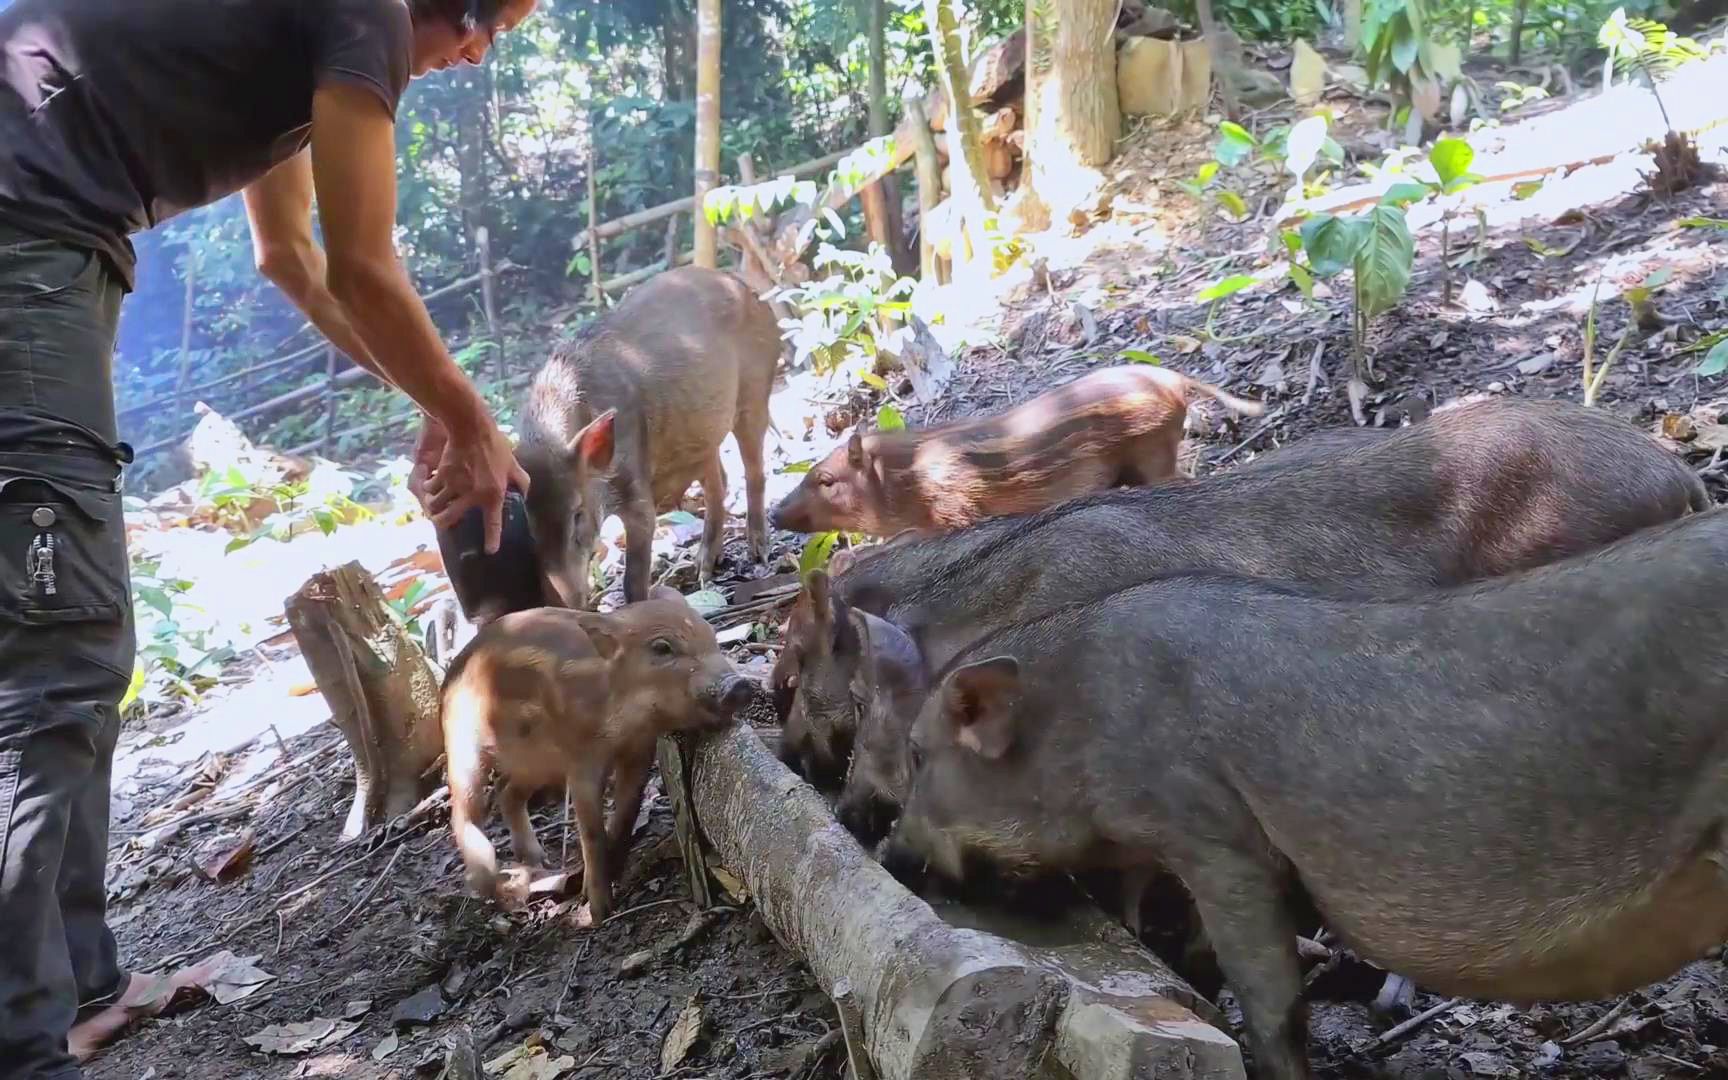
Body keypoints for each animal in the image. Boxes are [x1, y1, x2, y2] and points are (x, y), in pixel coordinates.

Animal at [442, 594, 753, 912]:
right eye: (662, 647)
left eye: (711, 635)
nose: (739, 685)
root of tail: (449, 675)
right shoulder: (582, 760)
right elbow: (591, 831)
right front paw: (599, 911)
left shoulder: (638, 751)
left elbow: (628, 810)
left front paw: (611, 873)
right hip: (462, 746)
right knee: (464, 810)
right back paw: (496, 888)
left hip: (536, 764)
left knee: (506, 792)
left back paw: (538, 861)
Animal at [514, 262, 781, 608]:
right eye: (530, 529)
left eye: (577, 514)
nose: (562, 602)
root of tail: (748, 288)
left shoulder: (636, 485)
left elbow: (635, 575)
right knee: (718, 480)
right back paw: (704, 568)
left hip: (756, 391)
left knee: (753, 470)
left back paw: (758, 554)